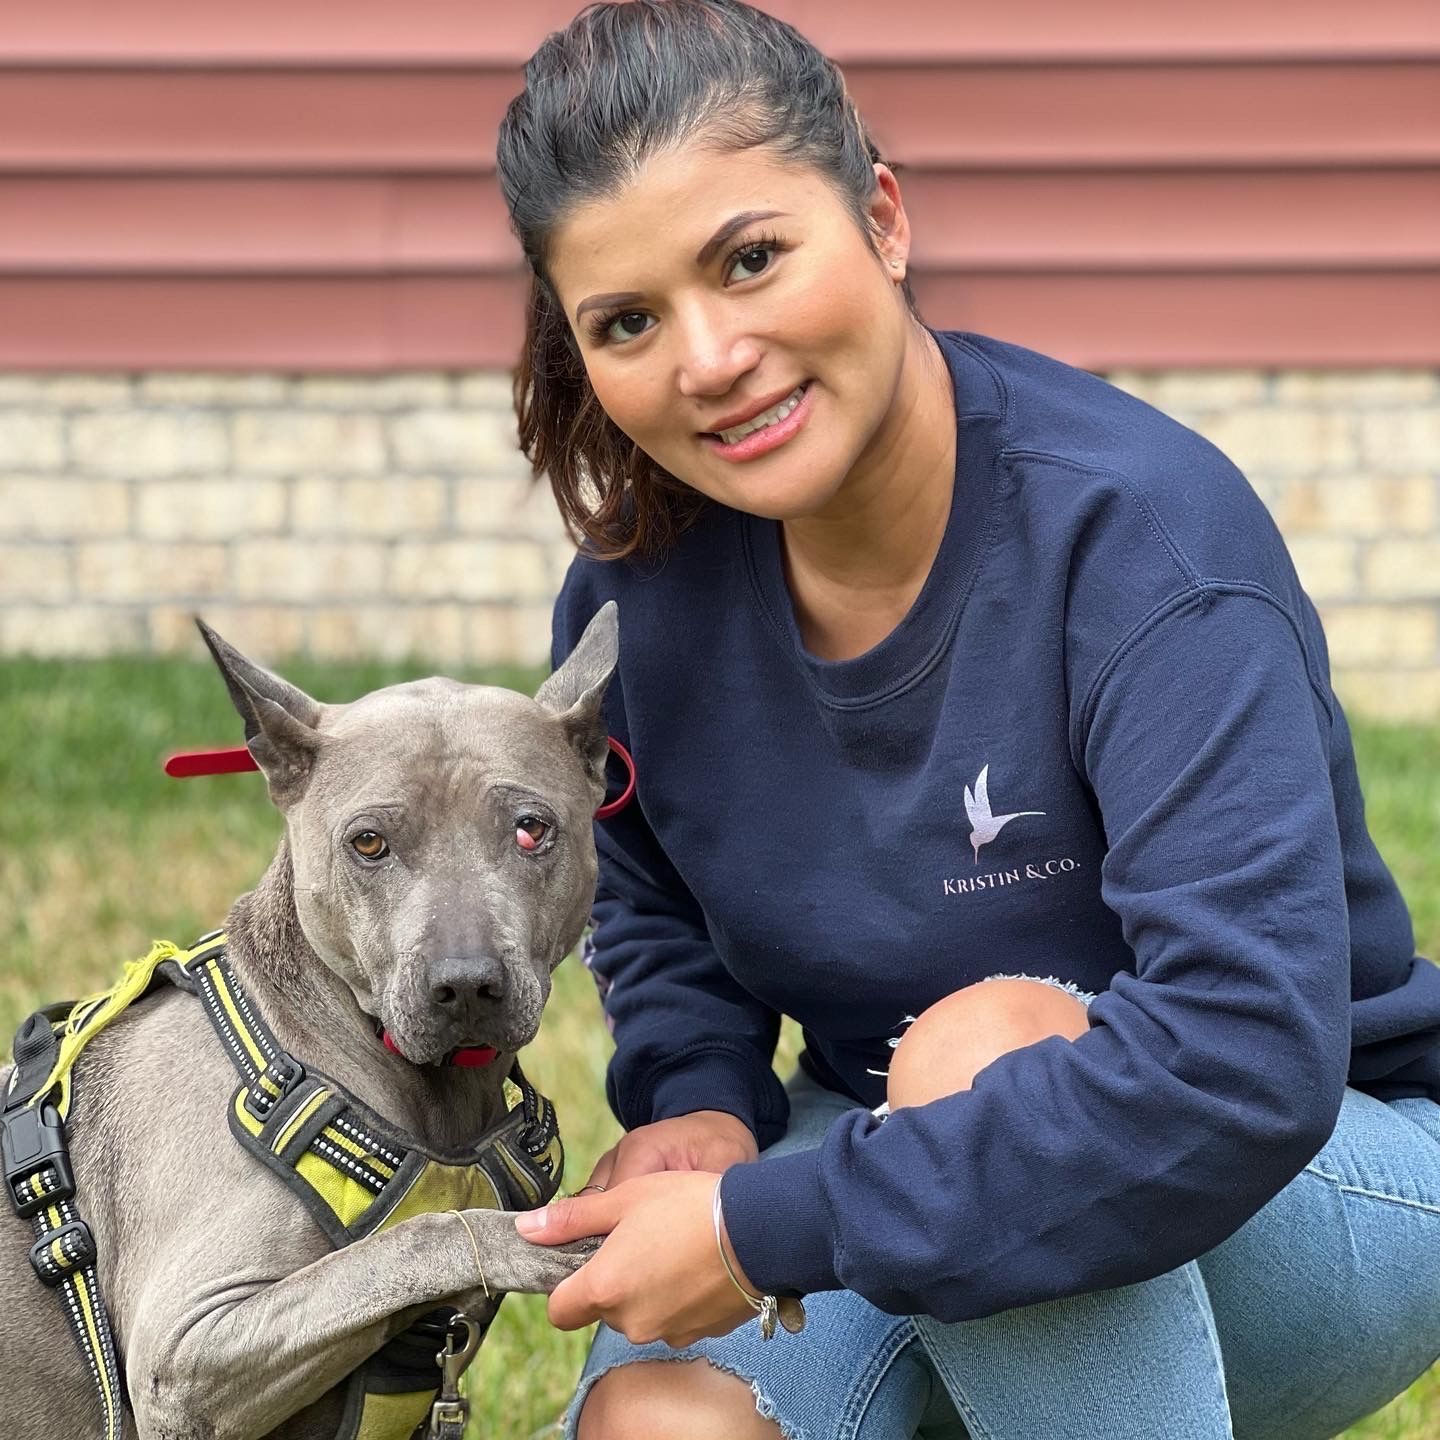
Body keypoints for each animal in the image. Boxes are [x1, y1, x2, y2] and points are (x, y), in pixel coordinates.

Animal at [0, 607, 613, 1440]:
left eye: (530, 829)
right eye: (368, 842)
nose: (465, 986)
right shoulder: (183, 1356)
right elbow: (408, 1241)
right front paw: (525, 1241)